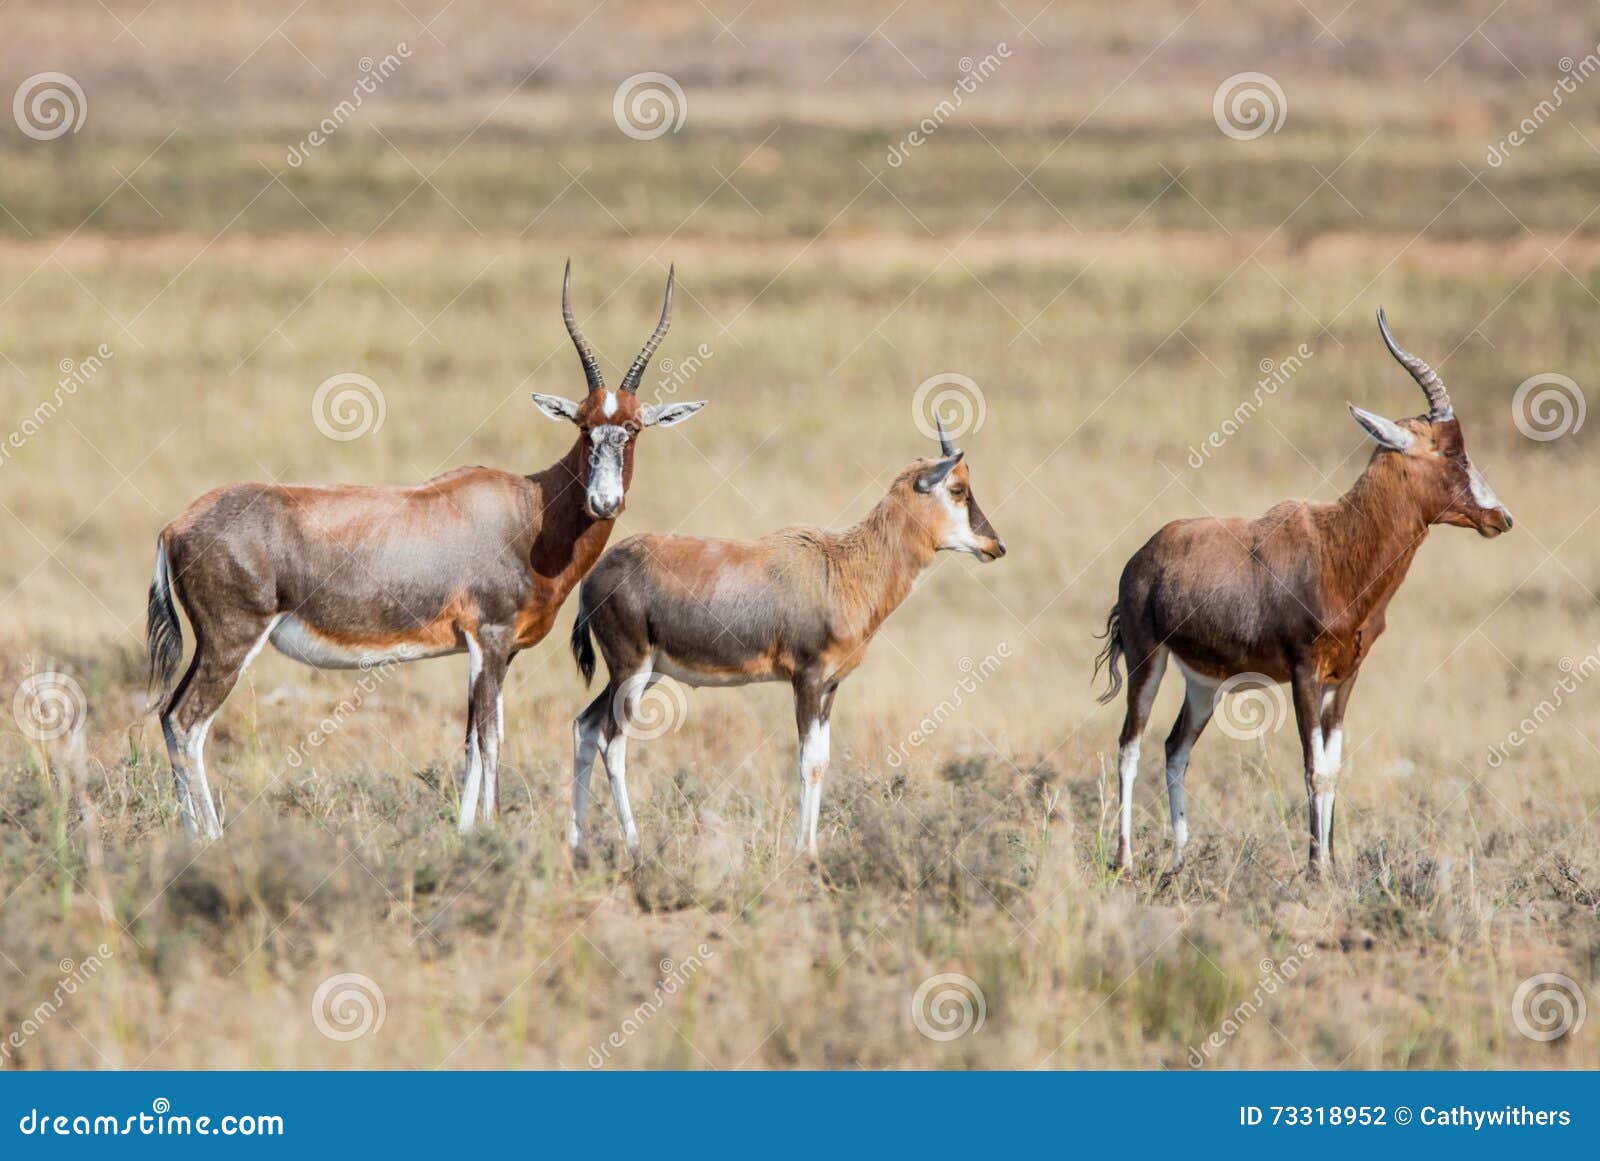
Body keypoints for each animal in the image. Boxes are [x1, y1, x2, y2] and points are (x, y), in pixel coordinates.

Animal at [145, 263, 707, 839]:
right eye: (584, 426)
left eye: (633, 428)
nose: (603, 501)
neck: (530, 508)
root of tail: (176, 526)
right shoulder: (491, 640)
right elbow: (490, 740)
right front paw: (488, 833)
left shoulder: (488, 652)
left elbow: (472, 741)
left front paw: (465, 834)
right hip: (232, 642)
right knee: (188, 723)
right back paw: (211, 838)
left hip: (209, 646)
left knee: (167, 715)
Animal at [566, 418, 1006, 862]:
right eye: (958, 488)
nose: (996, 545)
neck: (838, 564)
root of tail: (594, 574)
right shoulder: (806, 680)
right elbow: (806, 761)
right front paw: (803, 852)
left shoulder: (830, 687)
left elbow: (821, 761)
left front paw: (809, 848)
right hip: (632, 670)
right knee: (612, 742)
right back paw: (634, 846)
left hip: (643, 673)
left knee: (585, 726)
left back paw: (577, 844)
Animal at [1095, 309, 1513, 875]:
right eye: (1452, 451)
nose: (1501, 518)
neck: (1336, 545)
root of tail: (1143, 555)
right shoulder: (1303, 674)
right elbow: (1313, 768)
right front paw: (1315, 870)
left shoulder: (1346, 678)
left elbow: (1334, 770)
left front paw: (1332, 864)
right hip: (1148, 660)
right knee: (1130, 745)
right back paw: (1125, 859)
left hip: (1204, 683)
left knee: (1175, 748)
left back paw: (1180, 857)